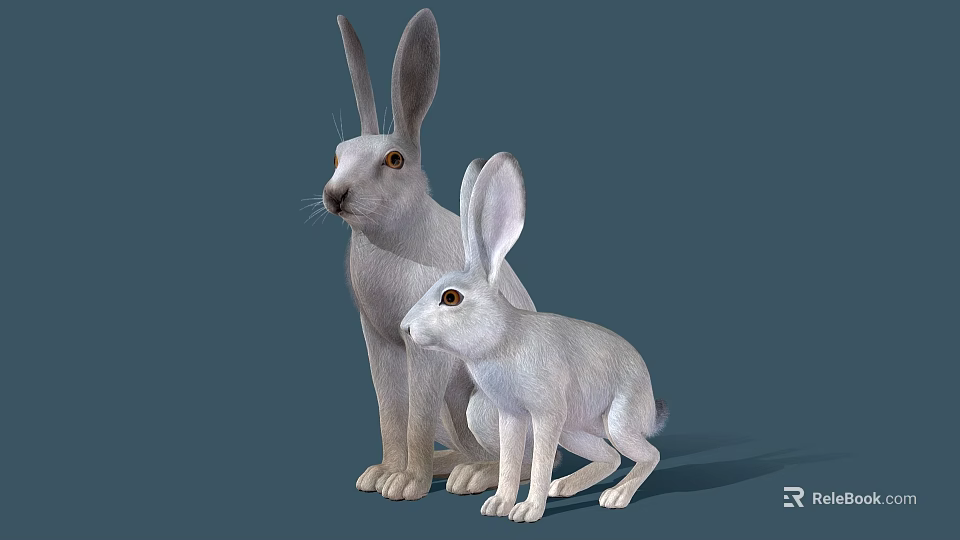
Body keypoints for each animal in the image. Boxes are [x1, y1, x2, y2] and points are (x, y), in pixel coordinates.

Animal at [320, 10, 544, 501]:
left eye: (395, 160)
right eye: (337, 157)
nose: (334, 196)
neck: (390, 238)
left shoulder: (425, 353)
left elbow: (415, 420)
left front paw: (406, 484)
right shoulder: (379, 343)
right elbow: (390, 413)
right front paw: (382, 474)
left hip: (482, 405)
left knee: (526, 460)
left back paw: (472, 476)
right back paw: (453, 466)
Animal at [400, 152, 669, 522]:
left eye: (451, 297)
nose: (405, 327)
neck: (502, 338)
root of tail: (648, 405)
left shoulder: (546, 414)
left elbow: (540, 461)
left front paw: (527, 511)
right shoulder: (511, 416)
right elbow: (510, 461)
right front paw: (498, 505)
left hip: (618, 421)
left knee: (649, 454)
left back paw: (616, 496)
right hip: (573, 431)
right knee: (611, 457)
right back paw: (565, 486)